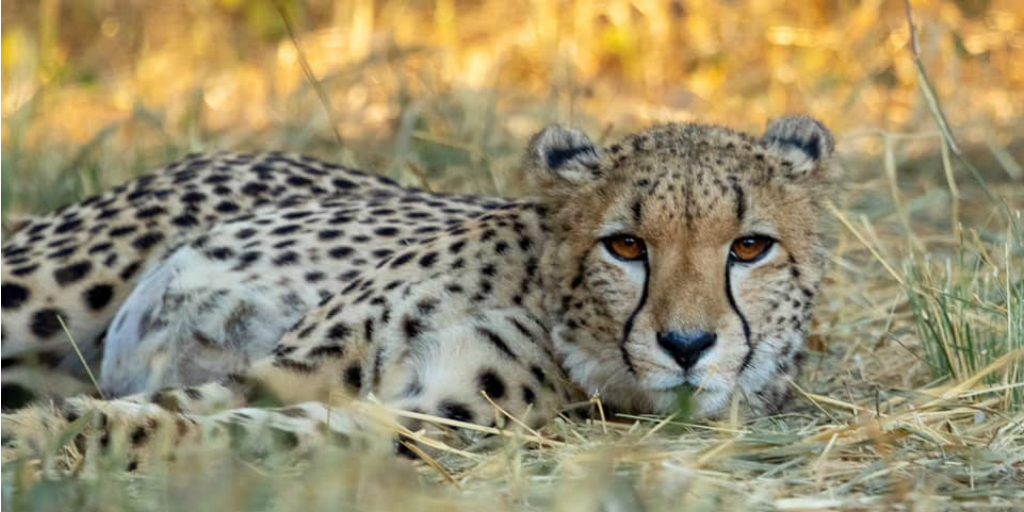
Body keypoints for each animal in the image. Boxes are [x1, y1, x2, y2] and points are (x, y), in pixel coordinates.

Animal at [0, 117, 835, 462]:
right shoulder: (281, 370)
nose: (688, 345)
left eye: (749, 247)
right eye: (626, 245)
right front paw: (37, 434)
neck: (540, 300)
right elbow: (155, 410)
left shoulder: (421, 417)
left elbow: (194, 428)